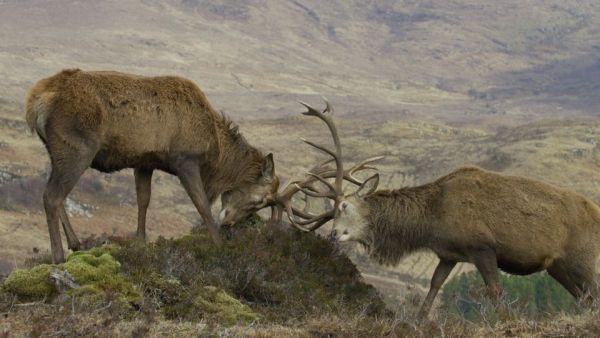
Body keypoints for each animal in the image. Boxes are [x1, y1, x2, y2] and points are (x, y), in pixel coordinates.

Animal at [26, 69, 282, 264]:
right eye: (259, 200)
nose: (229, 224)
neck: (215, 150)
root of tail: (36, 102)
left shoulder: (144, 162)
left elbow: (143, 200)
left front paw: (140, 242)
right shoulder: (185, 160)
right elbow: (202, 205)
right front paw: (218, 245)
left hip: (54, 151)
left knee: (56, 194)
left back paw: (76, 243)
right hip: (76, 150)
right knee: (51, 196)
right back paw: (58, 256)